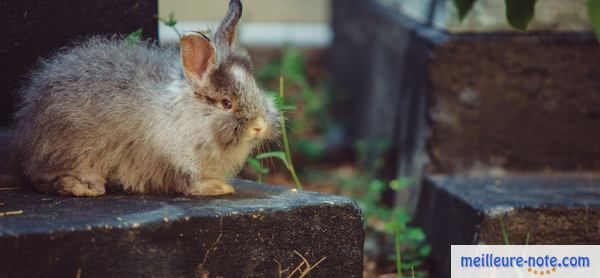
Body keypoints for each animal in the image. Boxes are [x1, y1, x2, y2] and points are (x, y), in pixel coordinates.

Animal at [1, 0, 278, 198]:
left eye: (255, 88)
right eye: (226, 104)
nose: (259, 126)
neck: (193, 117)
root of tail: (23, 134)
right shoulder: (176, 163)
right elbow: (188, 184)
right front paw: (218, 188)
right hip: (64, 151)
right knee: (40, 177)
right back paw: (87, 186)